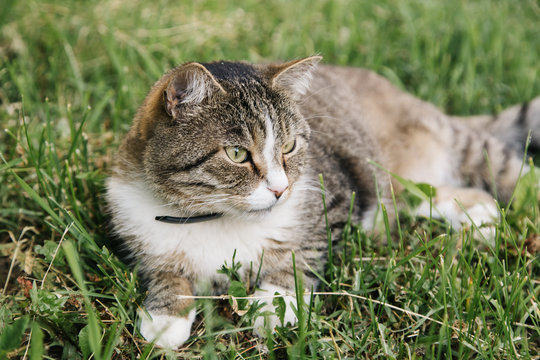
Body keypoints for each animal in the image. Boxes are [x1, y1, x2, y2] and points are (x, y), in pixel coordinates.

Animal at [106, 57, 540, 348]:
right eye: (236, 153)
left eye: (289, 147)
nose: (280, 190)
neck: (217, 217)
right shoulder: (140, 231)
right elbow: (165, 272)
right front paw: (165, 317)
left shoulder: (336, 199)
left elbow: (300, 258)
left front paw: (273, 306)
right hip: (410, 186)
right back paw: (479, 216)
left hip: (455, 153)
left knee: (510, 172)